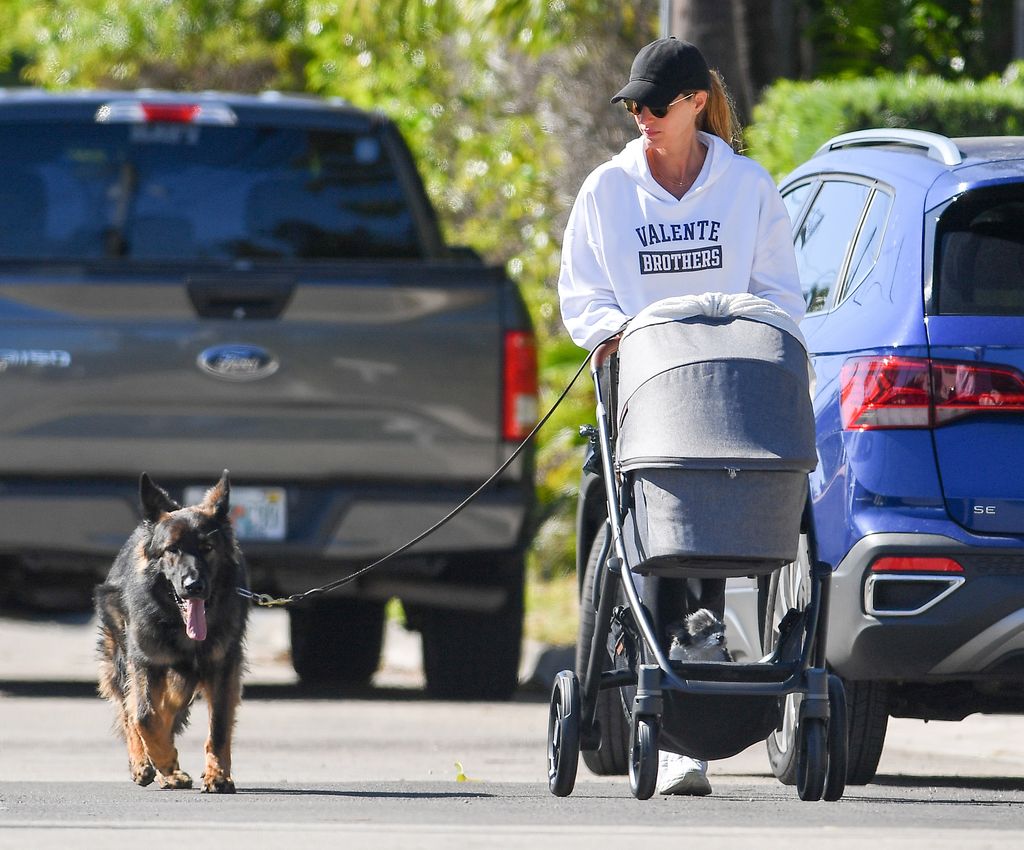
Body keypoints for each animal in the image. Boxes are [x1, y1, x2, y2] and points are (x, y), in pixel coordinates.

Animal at [94, 473, 249, 790]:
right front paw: (165, 762)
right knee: (131, 710)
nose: (194, 586)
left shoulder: (224, 667)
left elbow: (219, 726)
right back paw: (145, 764)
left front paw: (217, 774)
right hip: (122, 661)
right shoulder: (144, 662)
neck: (180, 627)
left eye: (207, 548)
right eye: (172, 550)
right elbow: (143, 716)